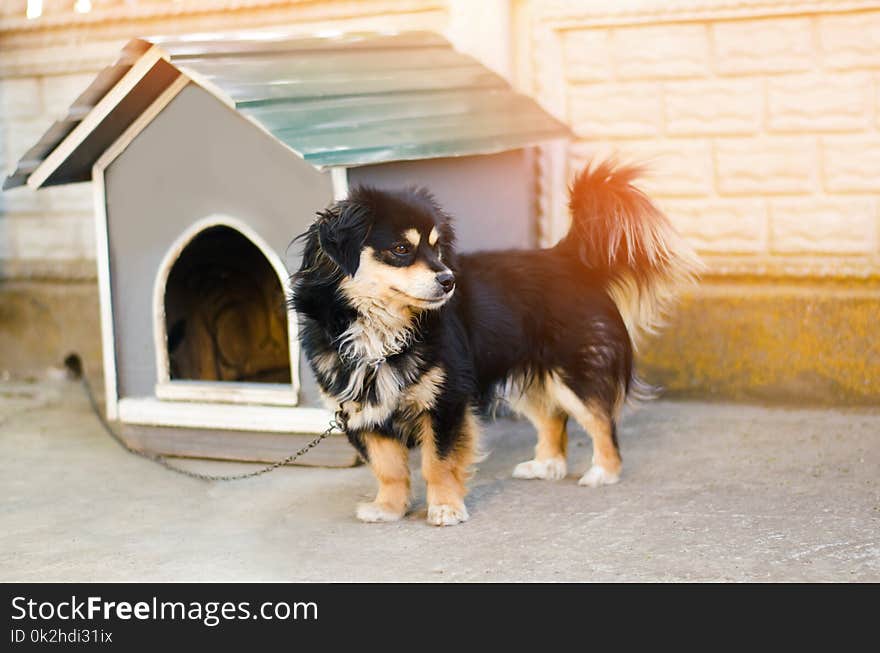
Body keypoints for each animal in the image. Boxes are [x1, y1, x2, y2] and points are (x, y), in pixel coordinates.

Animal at [292, 159, 704, 524]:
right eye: (400, 249)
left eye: (437, 248)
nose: (448, 281)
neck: (381, 329)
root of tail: (567, 257)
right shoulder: (363, 412)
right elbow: (388, 468)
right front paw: (389, 510)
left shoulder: (446, 401)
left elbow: (436, 462)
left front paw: (445, 508)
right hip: (529, 378)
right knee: (553, 419)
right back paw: (546, 465)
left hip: (573, 373)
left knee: (600, 421)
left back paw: (603, 471)